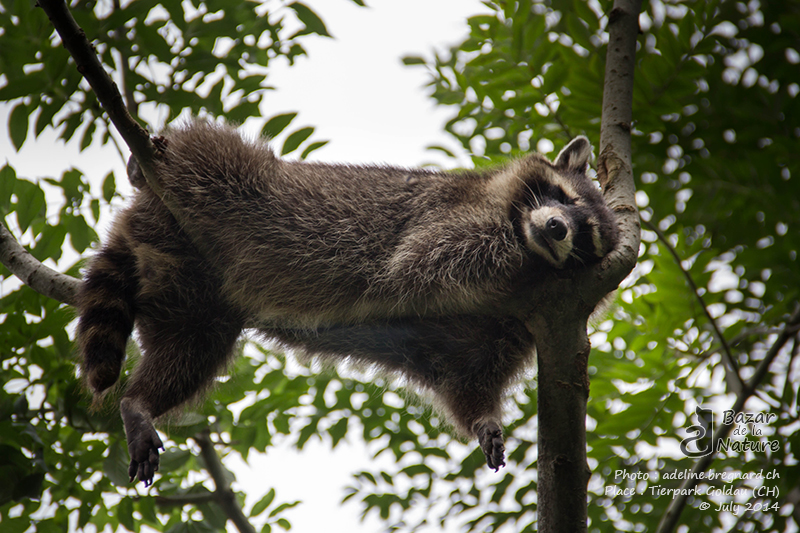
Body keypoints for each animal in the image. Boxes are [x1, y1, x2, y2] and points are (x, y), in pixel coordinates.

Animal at [75, 119, 620, 482]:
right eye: (566, 198)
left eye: (586, 235)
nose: (557, 229)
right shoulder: (453, 214)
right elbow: (422, 259)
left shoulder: (505, 329)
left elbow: (467, 376)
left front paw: (485, 418)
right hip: (231, 183)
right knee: (214, 153)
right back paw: (157, 158)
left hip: (195, 299)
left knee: (189, 354)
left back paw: (140, 401)